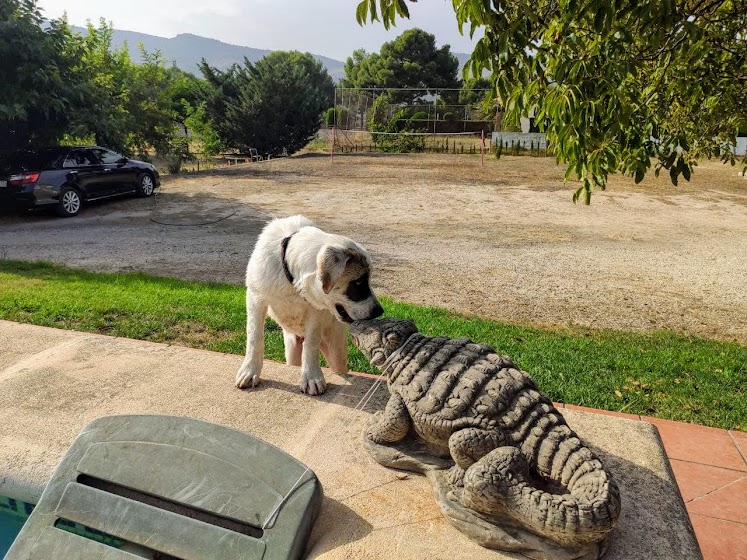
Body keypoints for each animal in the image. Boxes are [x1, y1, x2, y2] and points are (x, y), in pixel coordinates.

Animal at [235, 214, 386, 394]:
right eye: (359, 282)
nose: (379, 311)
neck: (291, 281)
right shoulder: (255, 298)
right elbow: (254, 336)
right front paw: (249, 370)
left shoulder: (315, 313)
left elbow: (311, 343)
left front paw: (312, 377)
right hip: (291, 349)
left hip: (336, 351)